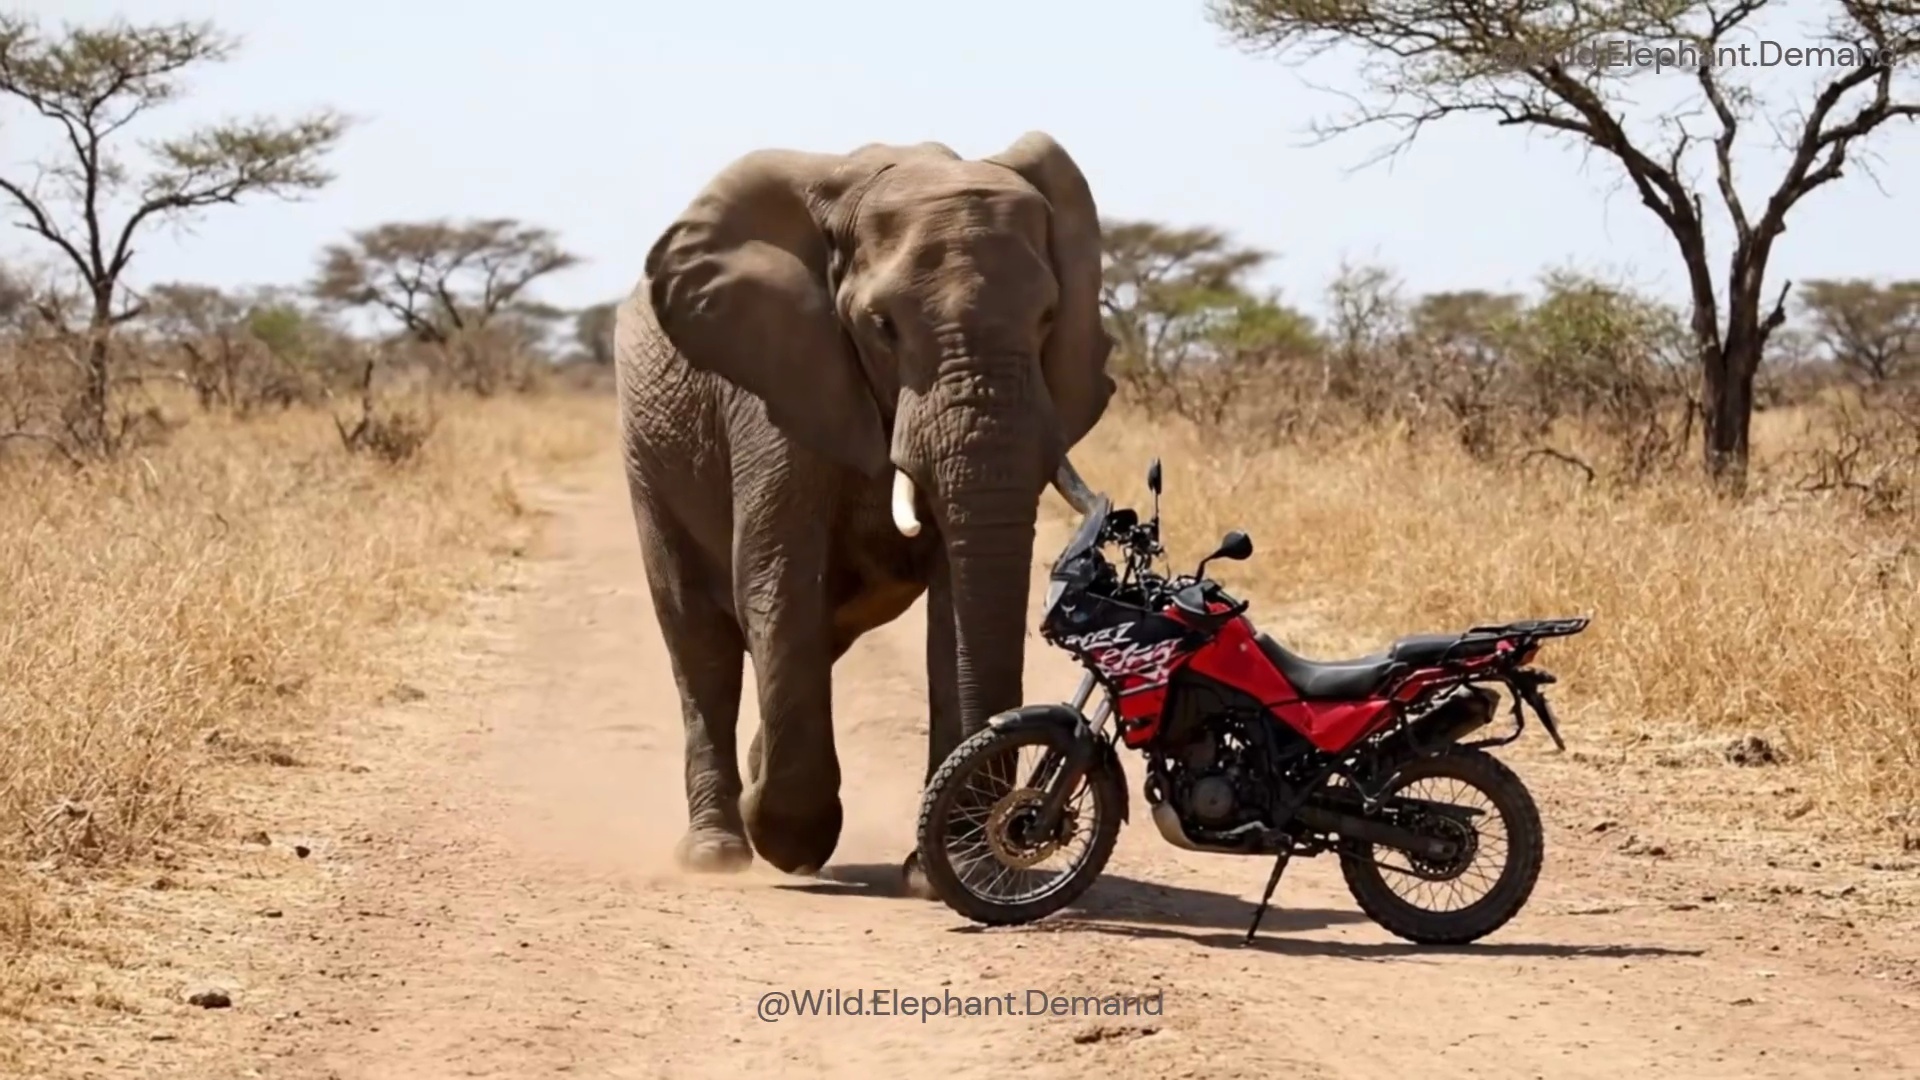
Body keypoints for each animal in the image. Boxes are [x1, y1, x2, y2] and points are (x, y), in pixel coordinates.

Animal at [614, 131, 1114, 884]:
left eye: (1048, 318)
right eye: (883, 326)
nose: (1016, 827)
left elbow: (954, 610)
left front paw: (938, 873)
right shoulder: (778, 379)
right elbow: (778, 578)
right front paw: (789, 840)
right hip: (648, 454)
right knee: (699, 639)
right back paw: (717, 850)